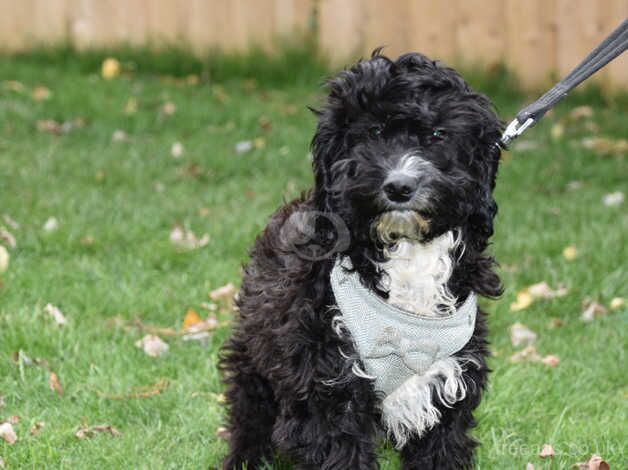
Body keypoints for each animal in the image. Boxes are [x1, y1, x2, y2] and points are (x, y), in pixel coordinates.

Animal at [220, 51, 500, 470]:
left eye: (438, 135)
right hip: (257, 361)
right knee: (249, 415)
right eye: (374, 132)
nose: (400, 186)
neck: (405, 253)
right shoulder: (326, 390)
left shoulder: (449, 378)